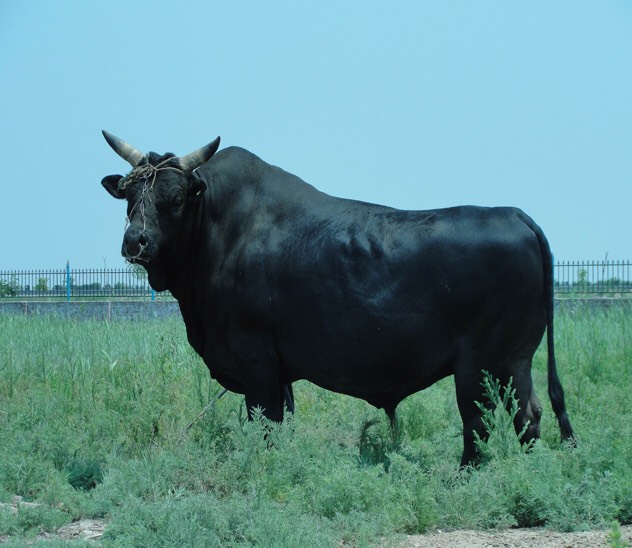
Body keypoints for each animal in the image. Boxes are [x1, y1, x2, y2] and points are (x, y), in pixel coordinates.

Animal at [101, 131, 576, 464]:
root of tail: (515, 215)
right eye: (129, 196)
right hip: (515, 359)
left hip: (479, 363)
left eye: (175, 198)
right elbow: (283, 423)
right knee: (528, 415)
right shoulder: (279, 369)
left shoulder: (255, 359)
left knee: (479, 421)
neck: (219, 231)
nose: (135, 241)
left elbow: (265, 424)